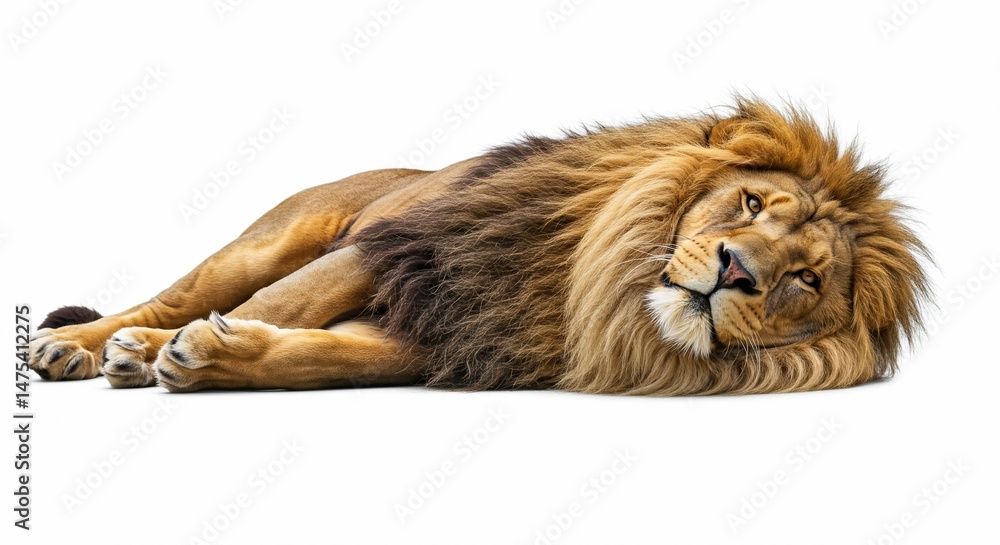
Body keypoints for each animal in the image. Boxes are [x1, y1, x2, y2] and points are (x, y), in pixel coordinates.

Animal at [28, 97, 930, 395]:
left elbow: (319, 352)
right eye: (749, 203)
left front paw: (215, 358)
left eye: (805, 278)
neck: (589, 283)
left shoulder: (446, 328)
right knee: (174, 294)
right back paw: (80, 345)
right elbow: (285, 302)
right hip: (271, 239)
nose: (737, 270)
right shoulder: (406, 244)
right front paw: (153, 353)